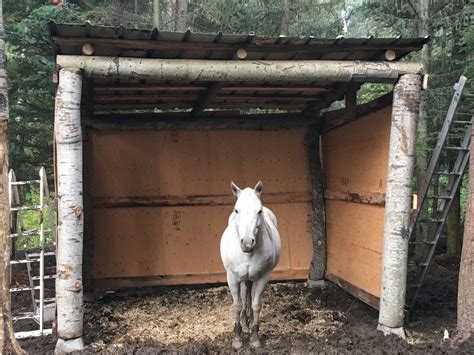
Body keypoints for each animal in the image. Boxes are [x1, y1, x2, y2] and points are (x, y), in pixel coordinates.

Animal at [219, 182, 282, 350]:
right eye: (236, 210)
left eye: (259, 210)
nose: (247, 243)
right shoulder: (232, 278)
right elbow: (237, 305)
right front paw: (237, 338)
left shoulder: (263, 277)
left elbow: (256, 304)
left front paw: (254, 337)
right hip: (241, 279)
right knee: (243, 295)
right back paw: (244, 319)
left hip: (253, 277)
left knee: (251, 295)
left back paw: (250, 320)